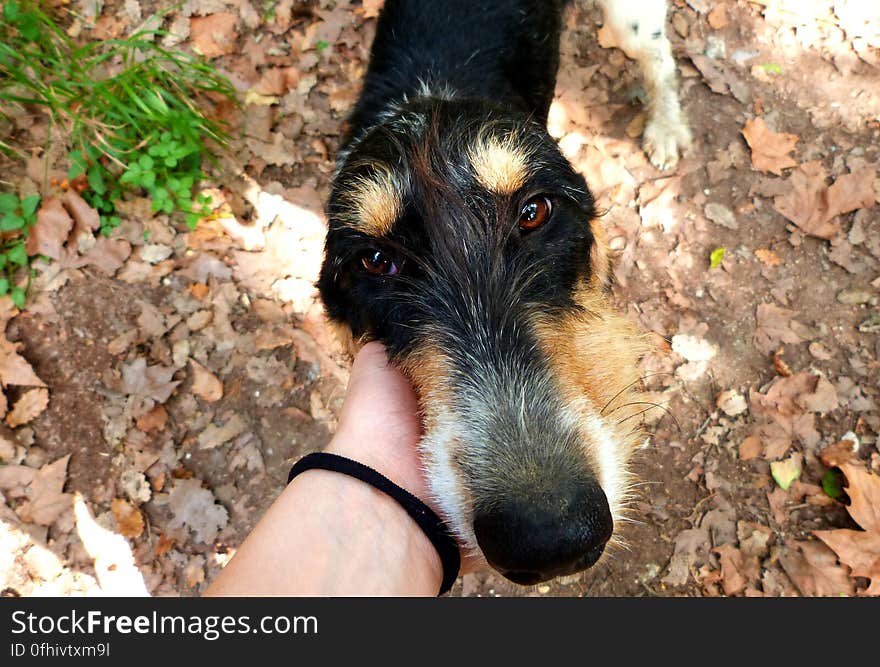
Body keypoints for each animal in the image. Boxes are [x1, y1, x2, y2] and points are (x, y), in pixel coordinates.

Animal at [316, 0, 688, 584]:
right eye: (376, 262)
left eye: (534, 211)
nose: (547, 535)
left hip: (631, 22)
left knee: (660, 58)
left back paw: (666, 127)